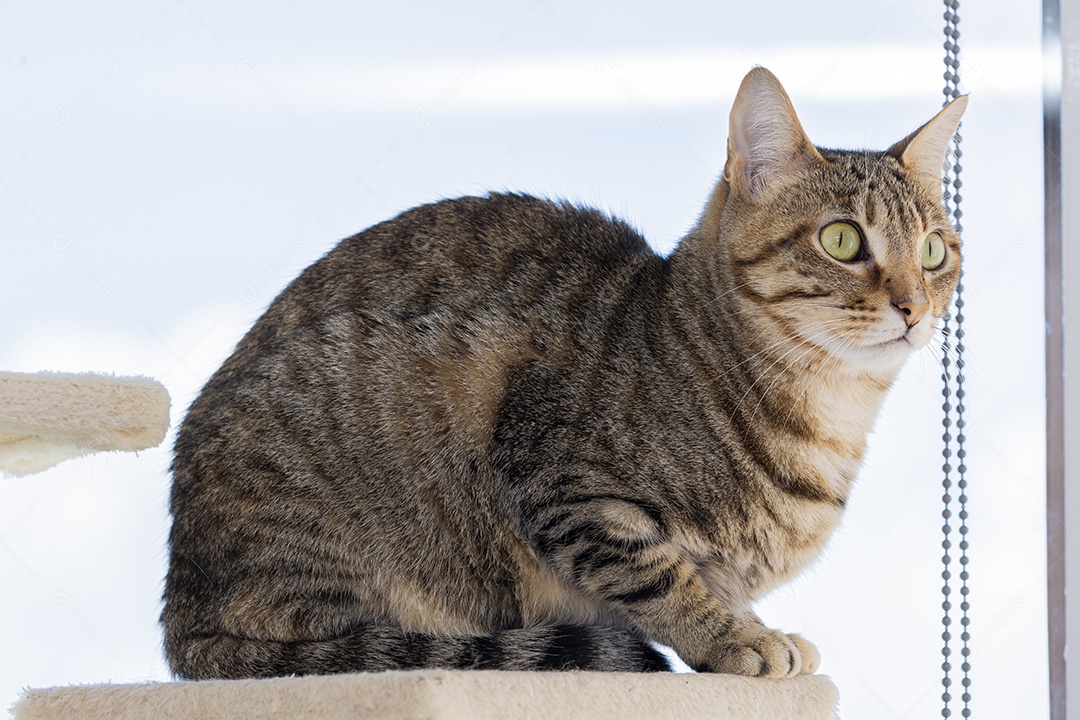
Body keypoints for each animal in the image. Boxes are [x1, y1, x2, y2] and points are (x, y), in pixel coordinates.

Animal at [162, 69, 972, 682]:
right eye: (842, 240)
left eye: (935, 250)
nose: (913, 305)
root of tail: (179, 613)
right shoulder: (565, 480)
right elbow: (659, 574)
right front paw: (732, 637)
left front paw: (749, 622)